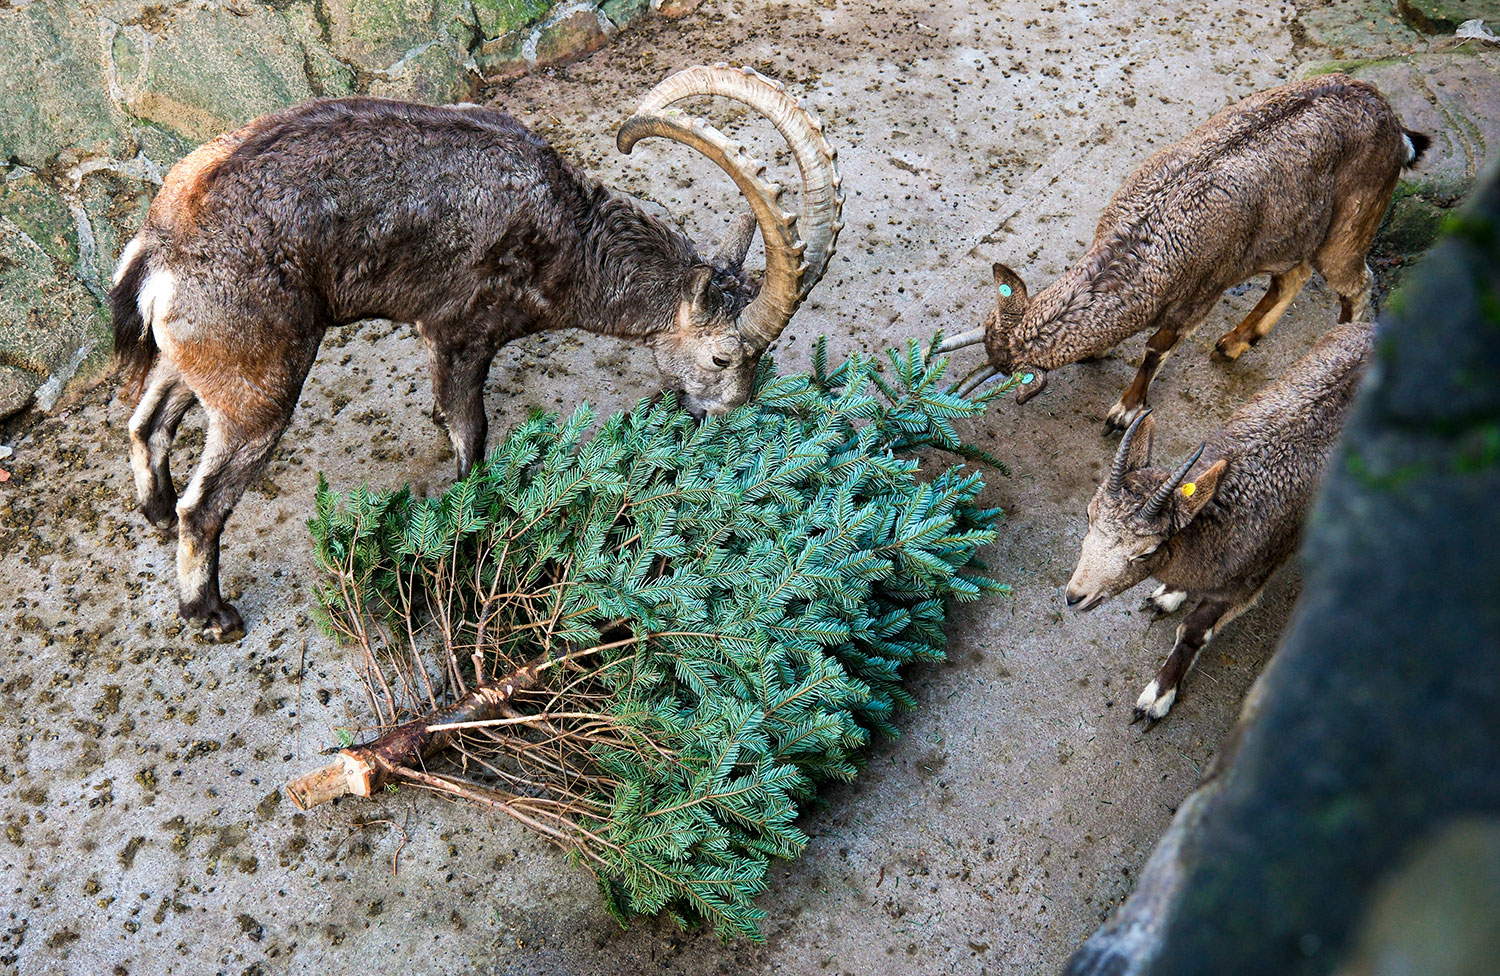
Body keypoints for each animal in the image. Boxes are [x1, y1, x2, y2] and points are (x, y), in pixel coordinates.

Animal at [109, 62, 846, 641]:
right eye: (723, 358)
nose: (725, 426)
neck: (569, 239)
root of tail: (162, 249)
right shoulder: (462, 332)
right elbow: (472, 429)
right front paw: (473, 517)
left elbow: (447, 414)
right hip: (258, 385)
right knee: (204, 505)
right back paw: (209, 614)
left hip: (197, 361)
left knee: (148, 421)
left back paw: (154, 511)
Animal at [942, 76, 1422, 428]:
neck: (1142, 239)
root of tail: (1396, 127)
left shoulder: (1200, 294)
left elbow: (1157, 349)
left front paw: (1125, 410)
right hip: (1289, 235)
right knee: (1292, 277)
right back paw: (1233, 343)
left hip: (1352, 221)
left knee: (1356, 283)